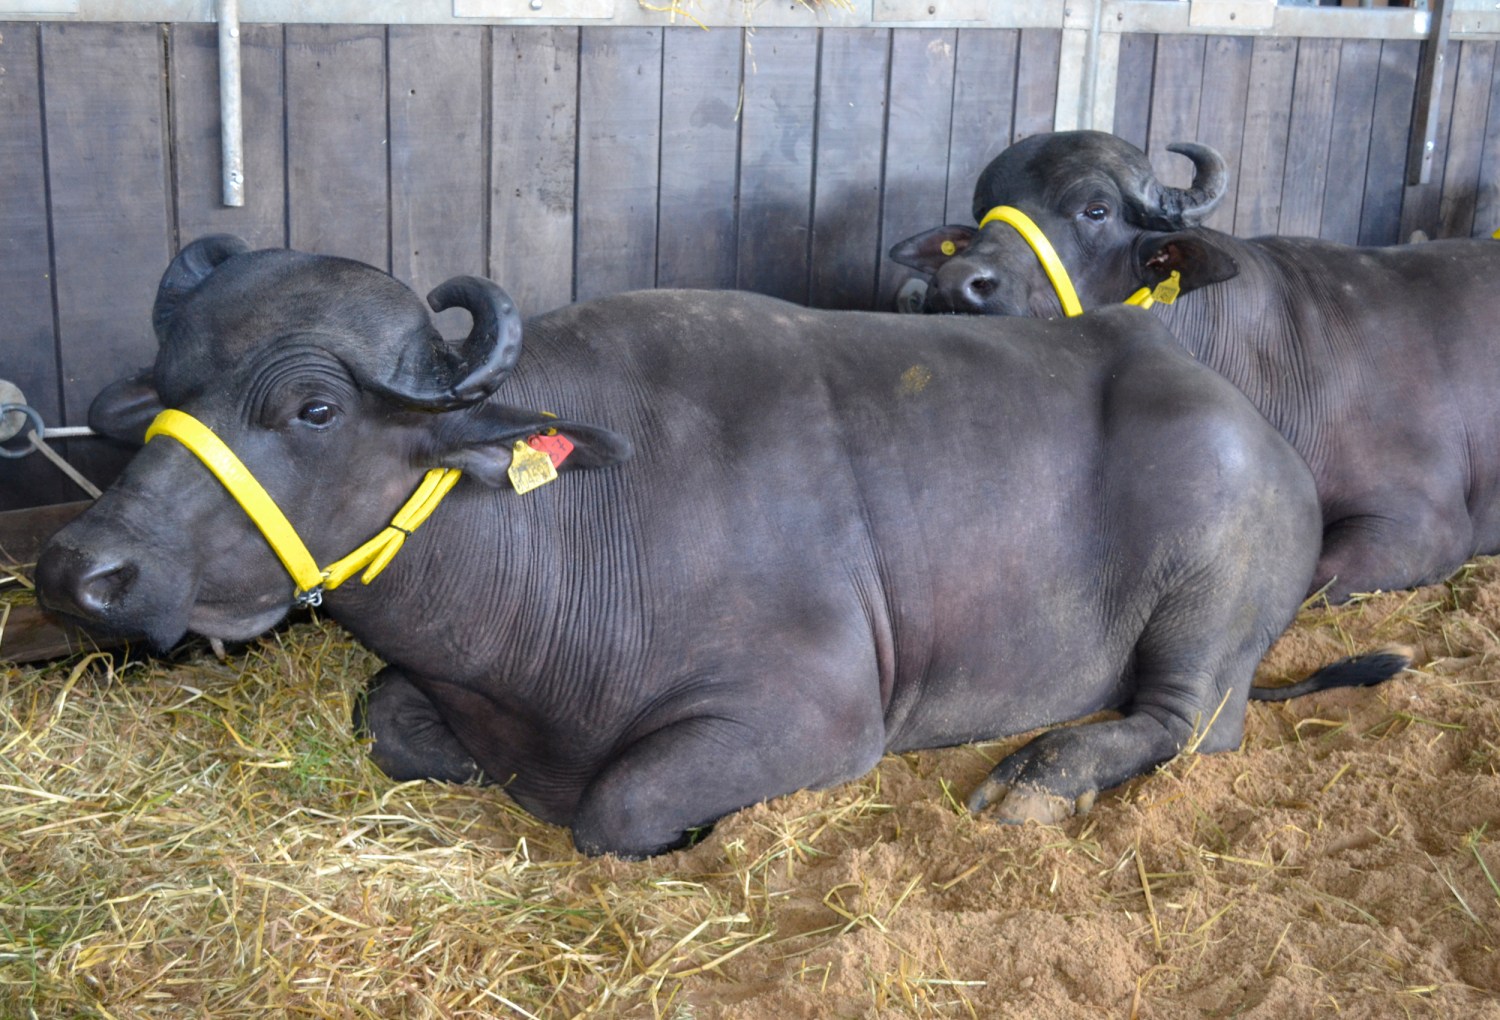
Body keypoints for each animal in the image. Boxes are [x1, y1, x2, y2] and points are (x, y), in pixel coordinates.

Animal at [38, 235, 1404, 858]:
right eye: (169, 385)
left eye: (314, 407)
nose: (80, 571)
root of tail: (1245, 421)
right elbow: (389, 718)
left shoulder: (815, 718)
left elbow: (618, 805)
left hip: (1208, 600)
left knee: (1183, 723)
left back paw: (1036, 777)